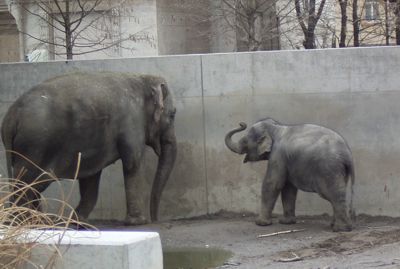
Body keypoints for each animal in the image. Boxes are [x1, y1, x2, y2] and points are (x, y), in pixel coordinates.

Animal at [1, 71, 177, 224]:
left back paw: (37, 221)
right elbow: (132, 163)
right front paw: (138, 222)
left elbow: (91, 175)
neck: (143, 77)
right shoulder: (132, 122)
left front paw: (78, 221)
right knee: (28, 182)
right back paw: (23, 221)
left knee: (33, 184)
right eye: (173, 114)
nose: (156, 220)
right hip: (35, 146)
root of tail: (11, 115)